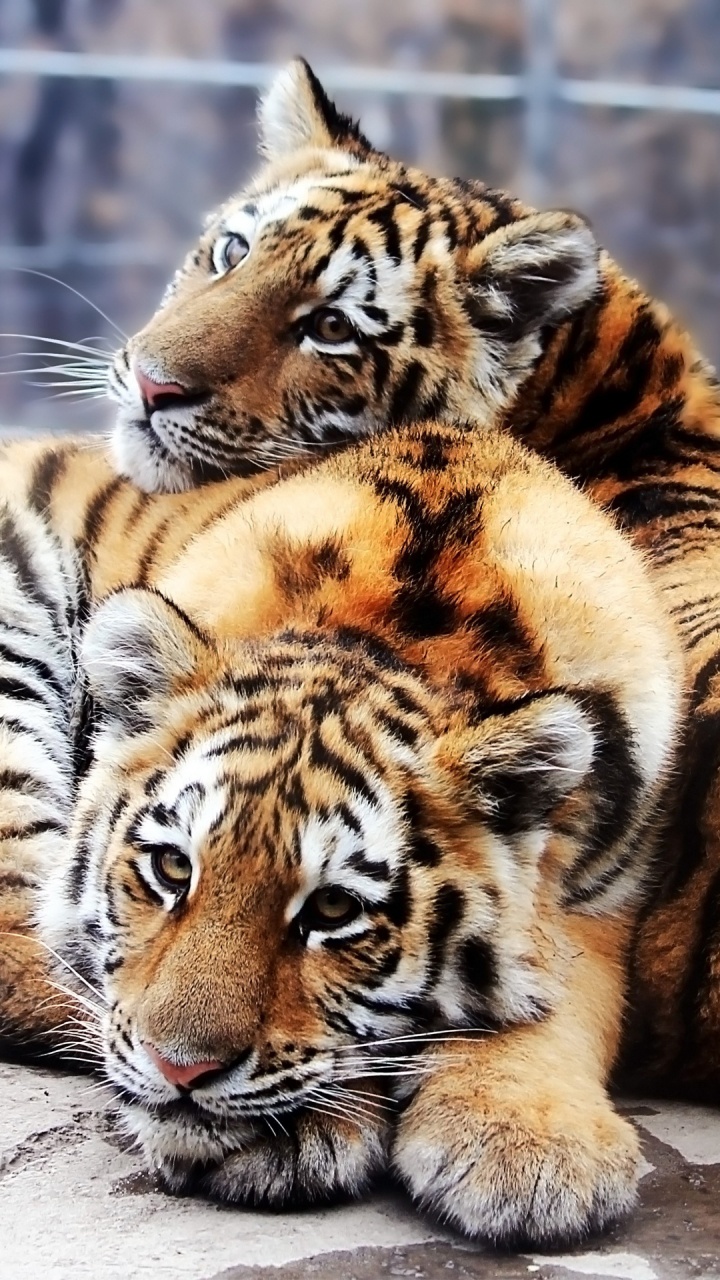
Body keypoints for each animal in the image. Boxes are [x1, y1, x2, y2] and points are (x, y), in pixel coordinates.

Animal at [0, 420, 680, 1247]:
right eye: (171, 870)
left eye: (332, 911)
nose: (177, 1070)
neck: (407, 635)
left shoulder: (609, 893)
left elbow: (564, 995)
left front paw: (530, 1150)